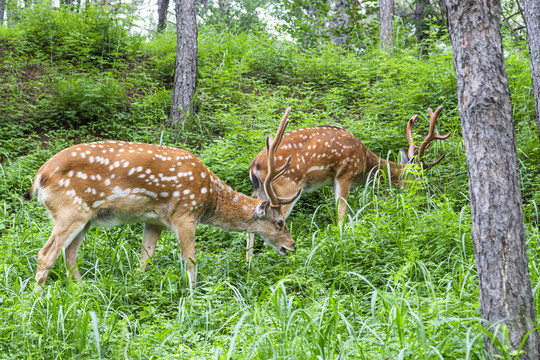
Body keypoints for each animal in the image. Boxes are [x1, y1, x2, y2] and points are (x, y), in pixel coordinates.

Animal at [22, 108, 300, 292]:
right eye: (280, 223)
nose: (292, 246)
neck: (210, 197)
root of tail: (39, 177)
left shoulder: (154, 220)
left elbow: (145, 259)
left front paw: (138, 286)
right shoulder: (185, 213)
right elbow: (190, 260)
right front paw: (192, 297)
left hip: (87, 217)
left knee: (69, 253)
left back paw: (85, 291)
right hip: (70, 209)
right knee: (45, 254)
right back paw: (38, 300)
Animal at [247, 105, 450, 258]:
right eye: (418, 179)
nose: (423, 196)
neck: (364, 163)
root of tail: (254, 166)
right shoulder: (344, 174)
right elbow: (341, 214)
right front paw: (342, 240)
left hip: (262, 191)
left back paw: (250, 266)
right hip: (287, 187)